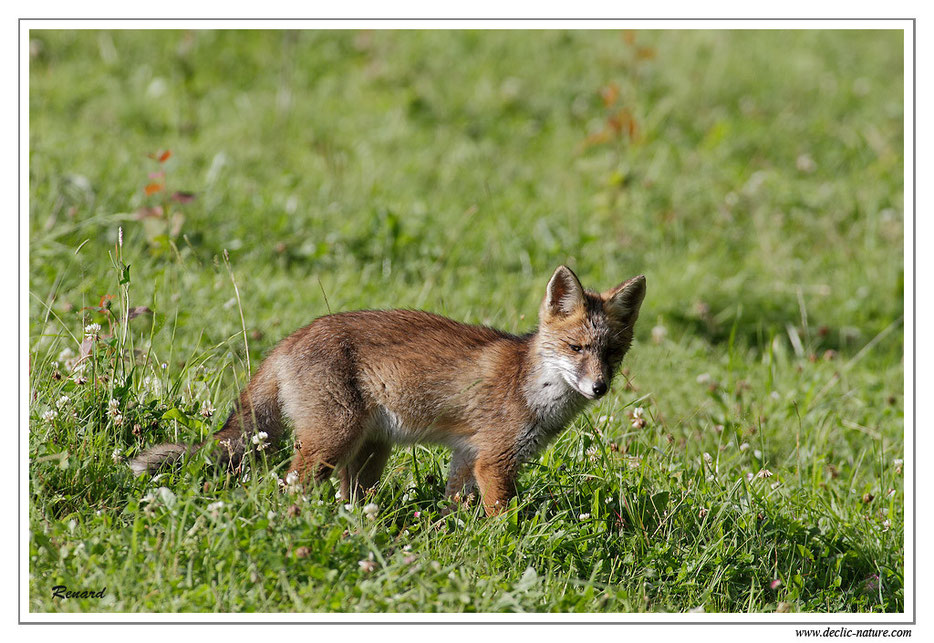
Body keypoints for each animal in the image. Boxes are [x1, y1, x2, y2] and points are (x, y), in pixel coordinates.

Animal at [130, 266, 644, 520]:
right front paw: (509, 551)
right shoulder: (494, 461)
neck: (532, 387)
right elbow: (505, 519)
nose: (599, 387)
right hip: (331, 441)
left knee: (347, 499)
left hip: (369, 453)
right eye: (577, 348)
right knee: (286, 488)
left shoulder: (466, 456)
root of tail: (290, 339)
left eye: (612, 354)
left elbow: (454, 507)